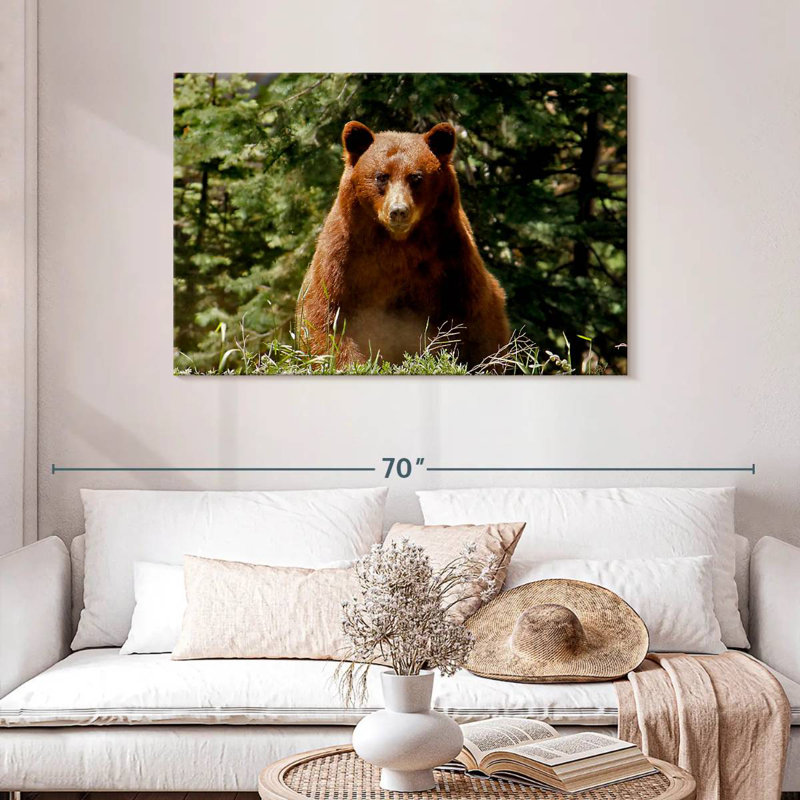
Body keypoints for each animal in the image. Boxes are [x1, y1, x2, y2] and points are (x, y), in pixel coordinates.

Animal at [296, 120, 511, 369]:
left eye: (416, 177)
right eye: (381, 176)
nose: (398, 211)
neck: (398, 244)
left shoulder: (450, 258)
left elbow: (476, 322)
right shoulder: (344, 257)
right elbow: (327, 316)